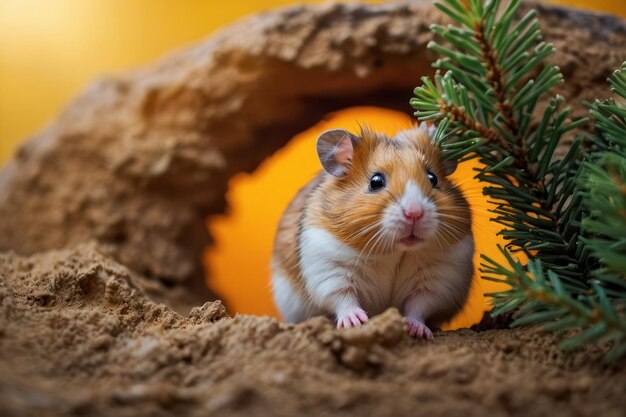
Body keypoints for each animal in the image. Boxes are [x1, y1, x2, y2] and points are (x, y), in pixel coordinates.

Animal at [270, 123, 470, 338]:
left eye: (433, 178)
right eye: (376, 181)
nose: (414, 213)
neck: (396, 252)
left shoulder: (439, 277)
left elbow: (419, 305)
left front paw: (417, 330)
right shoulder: (330, 267)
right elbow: (343, 297)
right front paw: (356, 321)